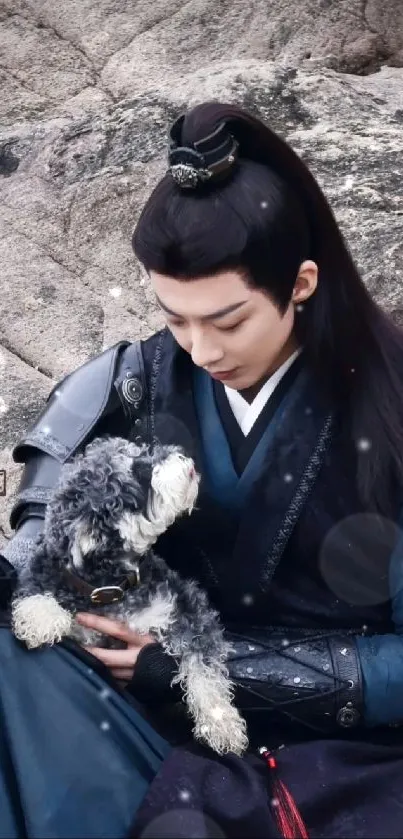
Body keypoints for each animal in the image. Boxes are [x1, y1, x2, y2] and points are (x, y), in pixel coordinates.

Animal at [11, 436, 248, 756]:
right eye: (140, 473)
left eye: (140, 454)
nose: (187, 461)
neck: (110, 590)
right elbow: (35, 588)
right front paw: (39, 619)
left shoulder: (187, 608)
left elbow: (203, 668)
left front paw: (222, 725)